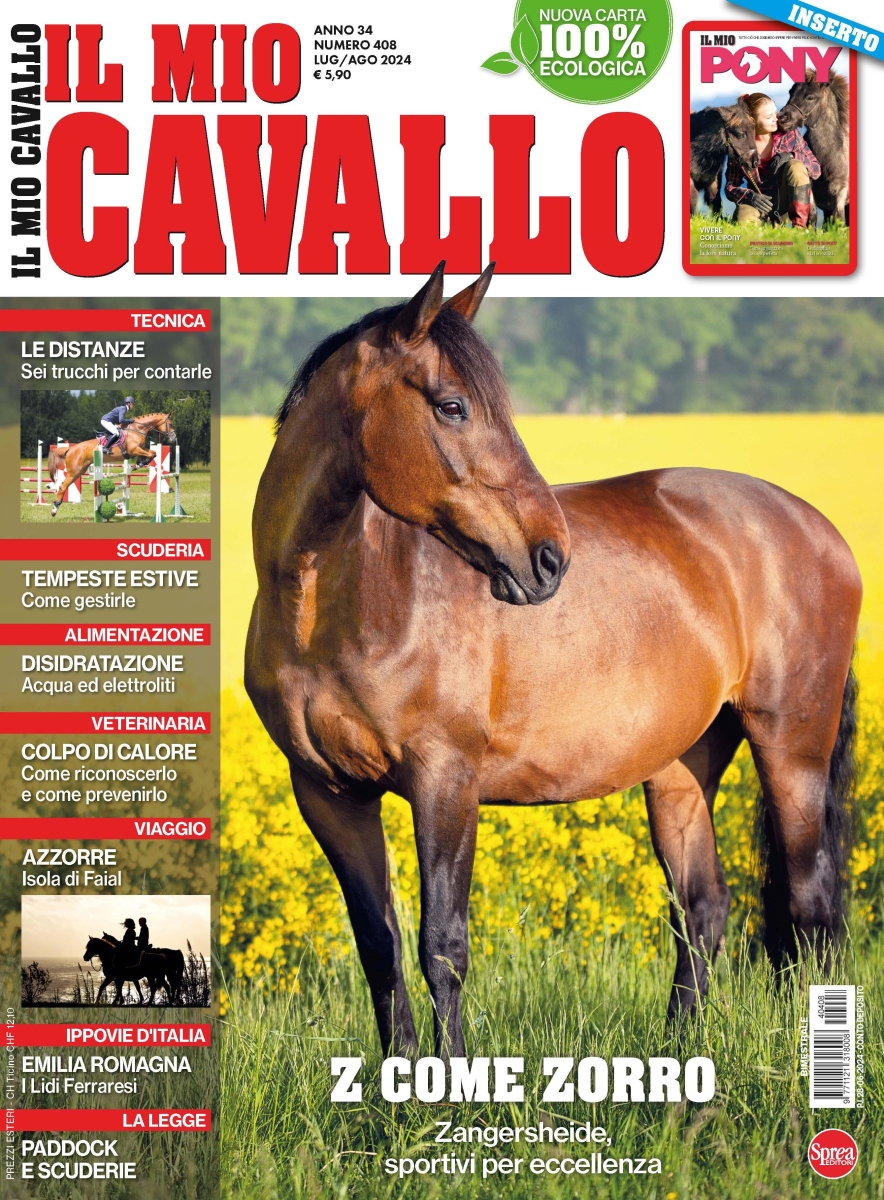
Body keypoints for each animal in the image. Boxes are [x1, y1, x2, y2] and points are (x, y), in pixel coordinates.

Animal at [48, 412, 177, 517]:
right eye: (170, 424)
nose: (173, 438)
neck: (137, 429)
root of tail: (70, 449)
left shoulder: (141, 449)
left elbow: (153, 453)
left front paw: (139, 463)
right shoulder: (134, 450)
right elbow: (151, 454)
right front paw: (139, 464)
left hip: (80, 471)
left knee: (62, 486)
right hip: (74, 471)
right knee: (62, 487)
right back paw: (54, 510)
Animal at [245, 264, 861, 1058]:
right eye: (451, 406)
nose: (548, 558)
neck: (340, 602)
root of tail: (818, 529)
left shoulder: (446, 782)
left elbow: (443, 947)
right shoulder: (328, 793)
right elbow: (379, 947)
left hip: (792, 745)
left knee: (811, 907)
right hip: (682, 764)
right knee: (702, 907)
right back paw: (677, 1056)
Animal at [777, 68, 850, 224]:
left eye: (810, 97)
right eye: (790, 92)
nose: (782, 118)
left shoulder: (840, 192)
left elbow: (839, 219)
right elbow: (812, 216)